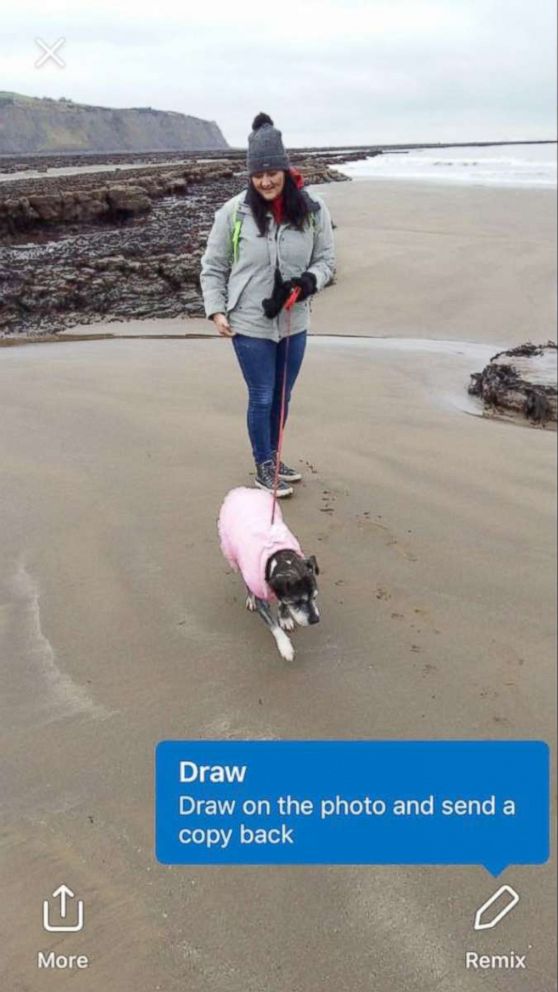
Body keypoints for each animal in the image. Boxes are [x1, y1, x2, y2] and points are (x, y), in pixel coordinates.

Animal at [220, 486, 322, 664]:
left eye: (314, 597)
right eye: (296, 602)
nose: (315, 620)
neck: (279, 557)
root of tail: (243, 491)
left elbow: (282, 605)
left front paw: (285, 618)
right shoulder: (263, 602)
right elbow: (274, 626)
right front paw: (285, 647)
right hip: (239, 558)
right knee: (247, 582)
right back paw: (250, 599)